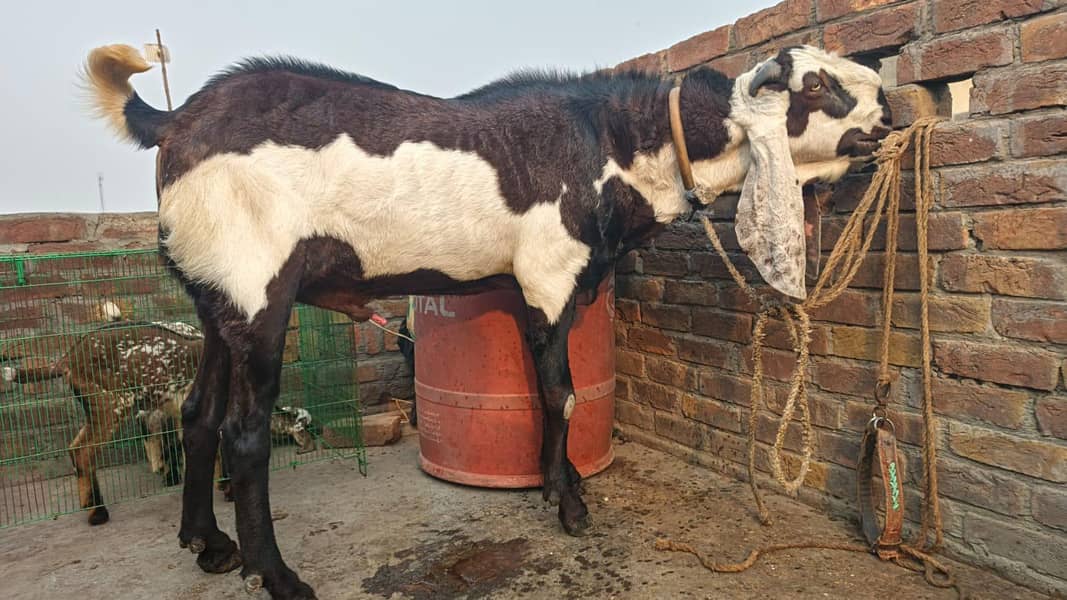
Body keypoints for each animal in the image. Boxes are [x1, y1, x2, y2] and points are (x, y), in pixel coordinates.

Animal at [85, 43, 890, 599]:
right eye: (813, 84)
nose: (889, 111)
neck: (611, 144)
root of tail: (174, 119)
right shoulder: (549, 273)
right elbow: (560, 393)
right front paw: (568, 502)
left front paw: (561, 485)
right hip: (258, 289)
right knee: (244, 434)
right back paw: (278, 577)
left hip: (213, 295)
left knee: (196, 413)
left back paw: (206, 544)